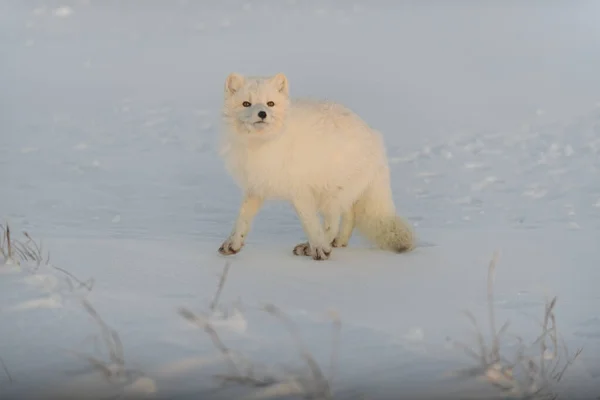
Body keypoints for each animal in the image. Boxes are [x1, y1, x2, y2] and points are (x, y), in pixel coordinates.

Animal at [218, 71, 414, 260]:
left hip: (331, 194)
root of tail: (375, 137)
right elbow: (242, 218)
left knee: (333, 223)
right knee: (349, 215)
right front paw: (232, 244)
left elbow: (310, 223)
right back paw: (339, 241)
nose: (262, 114)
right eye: (246, 103)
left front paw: (319, 248)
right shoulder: (256, 186)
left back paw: (314, 247)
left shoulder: (300, 192)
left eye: (270, 103)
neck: (262, 143)